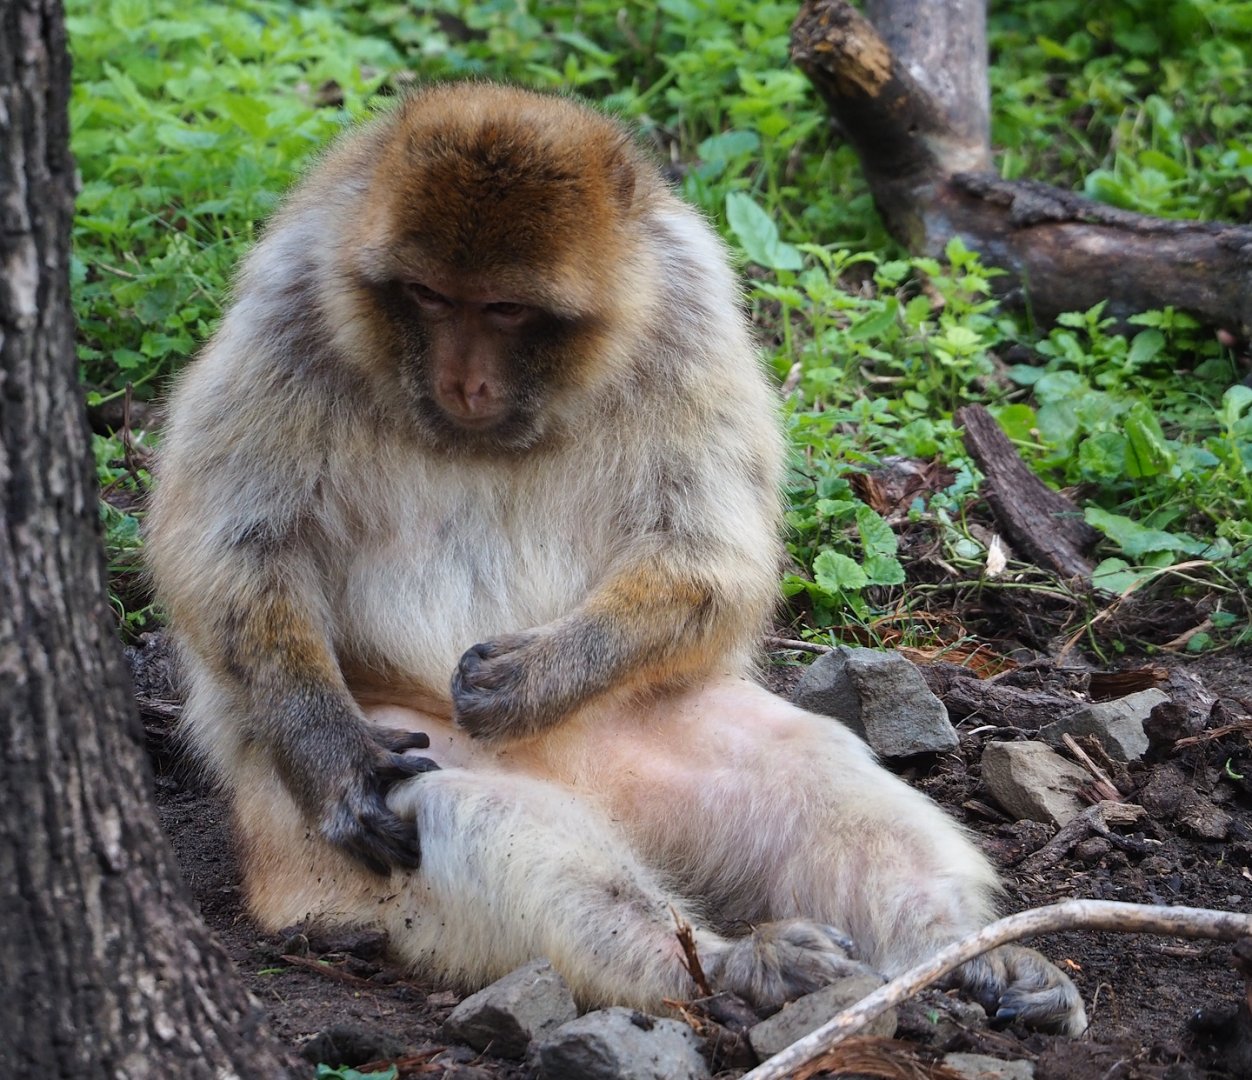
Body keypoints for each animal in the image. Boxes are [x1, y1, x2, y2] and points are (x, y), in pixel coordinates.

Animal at [146, 82, 1086, 1032]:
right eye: (429, 296)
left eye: (506, 309)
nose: (464, 382)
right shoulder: (288, 305)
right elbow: (235, 550)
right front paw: (335, 760)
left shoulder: (689, 310)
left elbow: (711, 555)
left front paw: (533, 677)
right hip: (307, 818)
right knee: (475, 820)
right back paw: (729, 964)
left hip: (642, 720)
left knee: (817, 776)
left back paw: (965, 951)